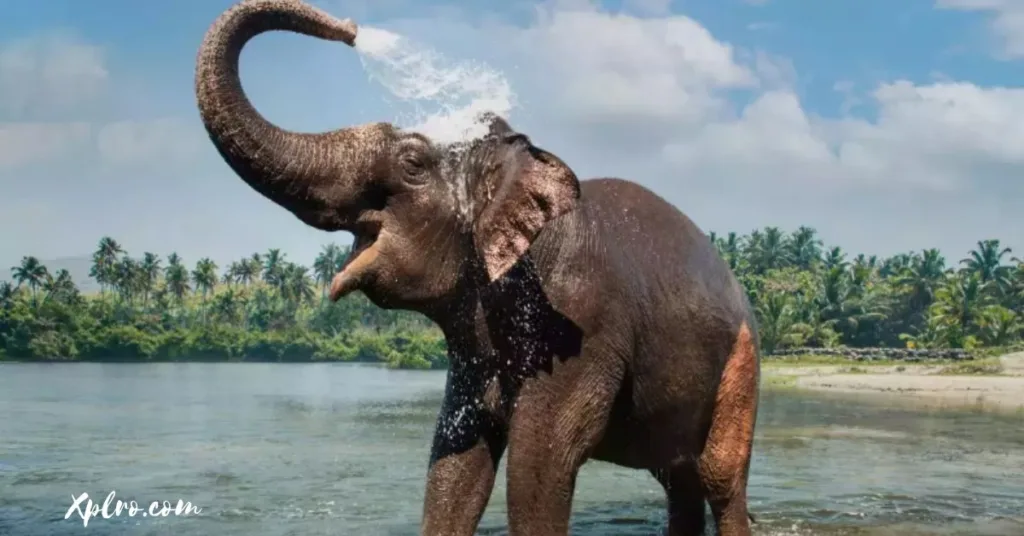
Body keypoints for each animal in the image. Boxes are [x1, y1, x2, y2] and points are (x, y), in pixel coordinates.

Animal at [197, 2, 761, 532]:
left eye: (412, 163)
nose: (349, 28)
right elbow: (456, 461)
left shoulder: (582, 321)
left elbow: (541, 463)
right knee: (677, 477)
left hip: (743, 360)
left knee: (717, 476)